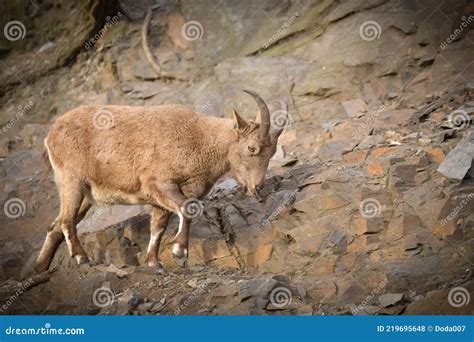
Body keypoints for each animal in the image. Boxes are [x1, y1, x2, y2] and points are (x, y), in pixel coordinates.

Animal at [35, 91, 286, 272]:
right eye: (252, 148)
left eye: (272, 152)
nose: (258, 187)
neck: (200, 138)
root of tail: (52, 133)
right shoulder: (158, 183)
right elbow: (187, 208)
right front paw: (179, 252)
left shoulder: (162, 197)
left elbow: (158, 226)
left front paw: (154, 262)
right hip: (72, 180)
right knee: (66, 220)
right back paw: (81, 258)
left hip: (87, 194)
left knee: (54, 225)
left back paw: (40, 268)